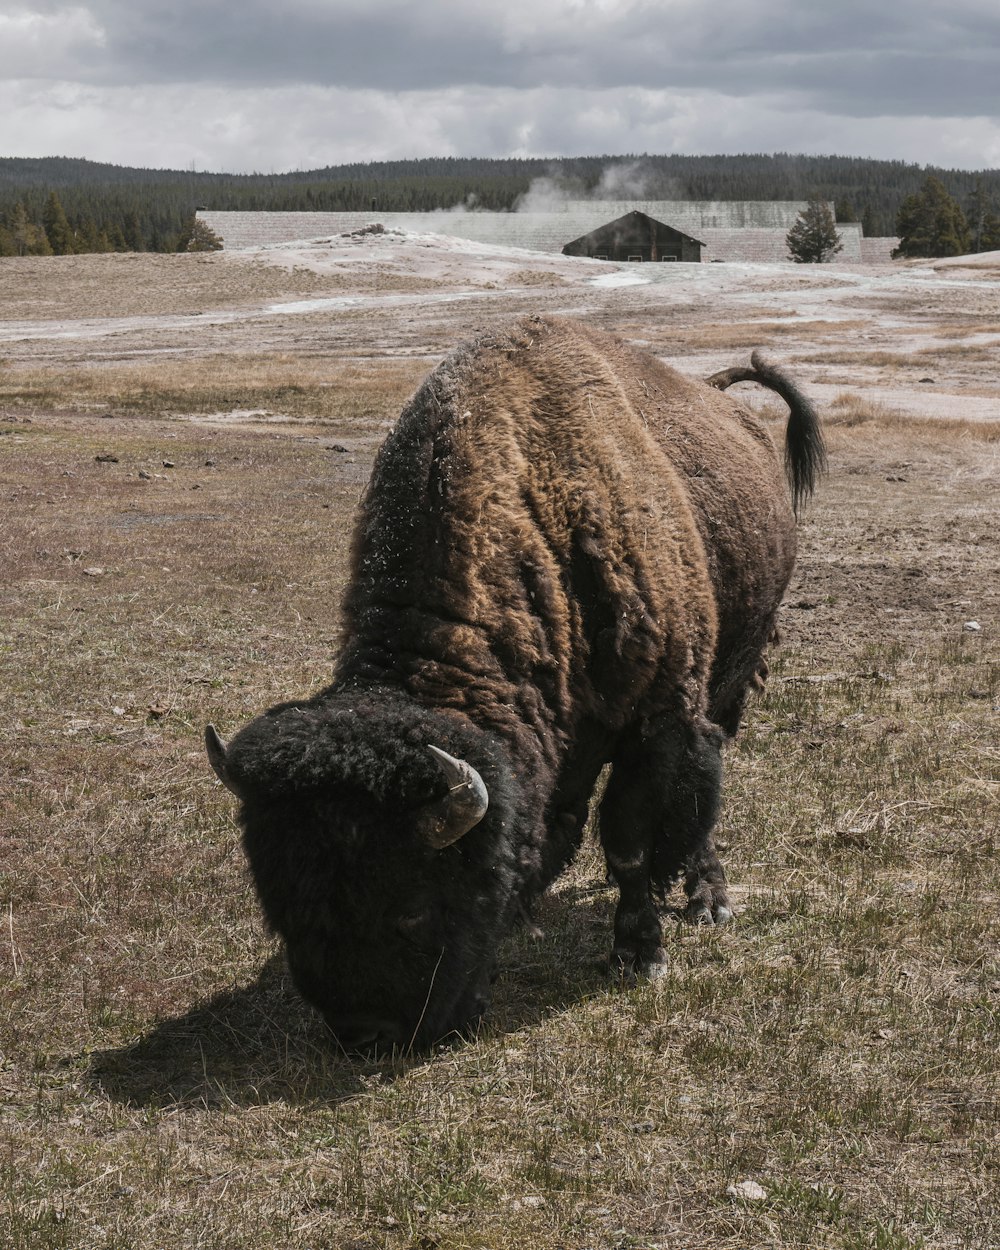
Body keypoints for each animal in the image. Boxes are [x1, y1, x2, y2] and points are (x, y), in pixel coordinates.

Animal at [207, 315, 825, 1055]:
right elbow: (559, 821)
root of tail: (729, 406)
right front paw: (525, 915)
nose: (367, 1034)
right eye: (282, 905)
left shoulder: (656, 725)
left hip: (727, 684)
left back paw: (707, 901)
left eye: (414, 909)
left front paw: (638, 955)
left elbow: (628, 841)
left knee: (705, 794)